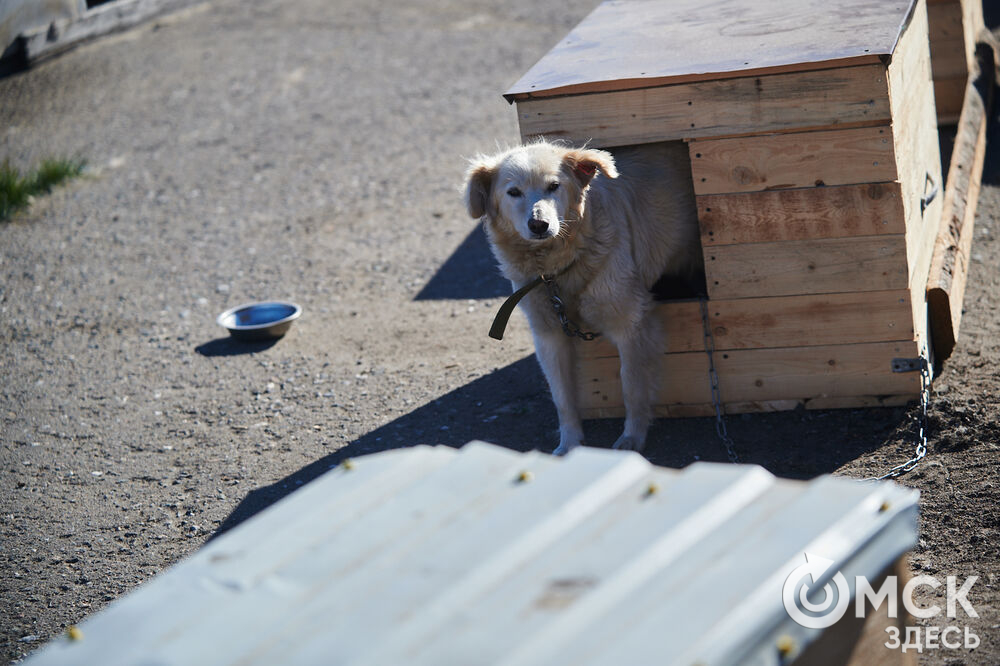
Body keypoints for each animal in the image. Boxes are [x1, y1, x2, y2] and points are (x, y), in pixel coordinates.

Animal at [462, 138, 704, 454]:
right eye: (513, 192)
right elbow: (562, 396)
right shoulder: (549, 334)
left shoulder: (631, 324)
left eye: (554, 186)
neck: (557, 268)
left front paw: (632, 438)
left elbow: (632, 385)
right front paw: (569, 444)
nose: (539, 225)